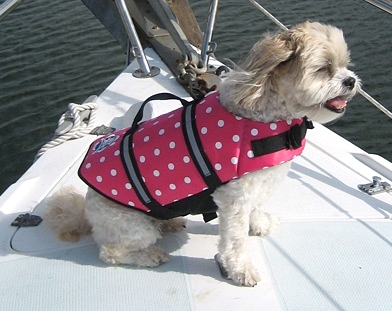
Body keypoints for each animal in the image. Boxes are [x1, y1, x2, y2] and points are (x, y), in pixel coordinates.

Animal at [44, 20, 360, 286]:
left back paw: (170, 221)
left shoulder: (259, 183)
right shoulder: (234, 198)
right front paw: (240, 270)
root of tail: (86, 210)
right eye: (324, 69)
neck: (264, 113)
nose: (351, 81)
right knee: (111, 252)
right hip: (130, 225)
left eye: (345, 65)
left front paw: (259, 224)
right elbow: (235, 240)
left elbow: (256, 208)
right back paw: (149, 255)